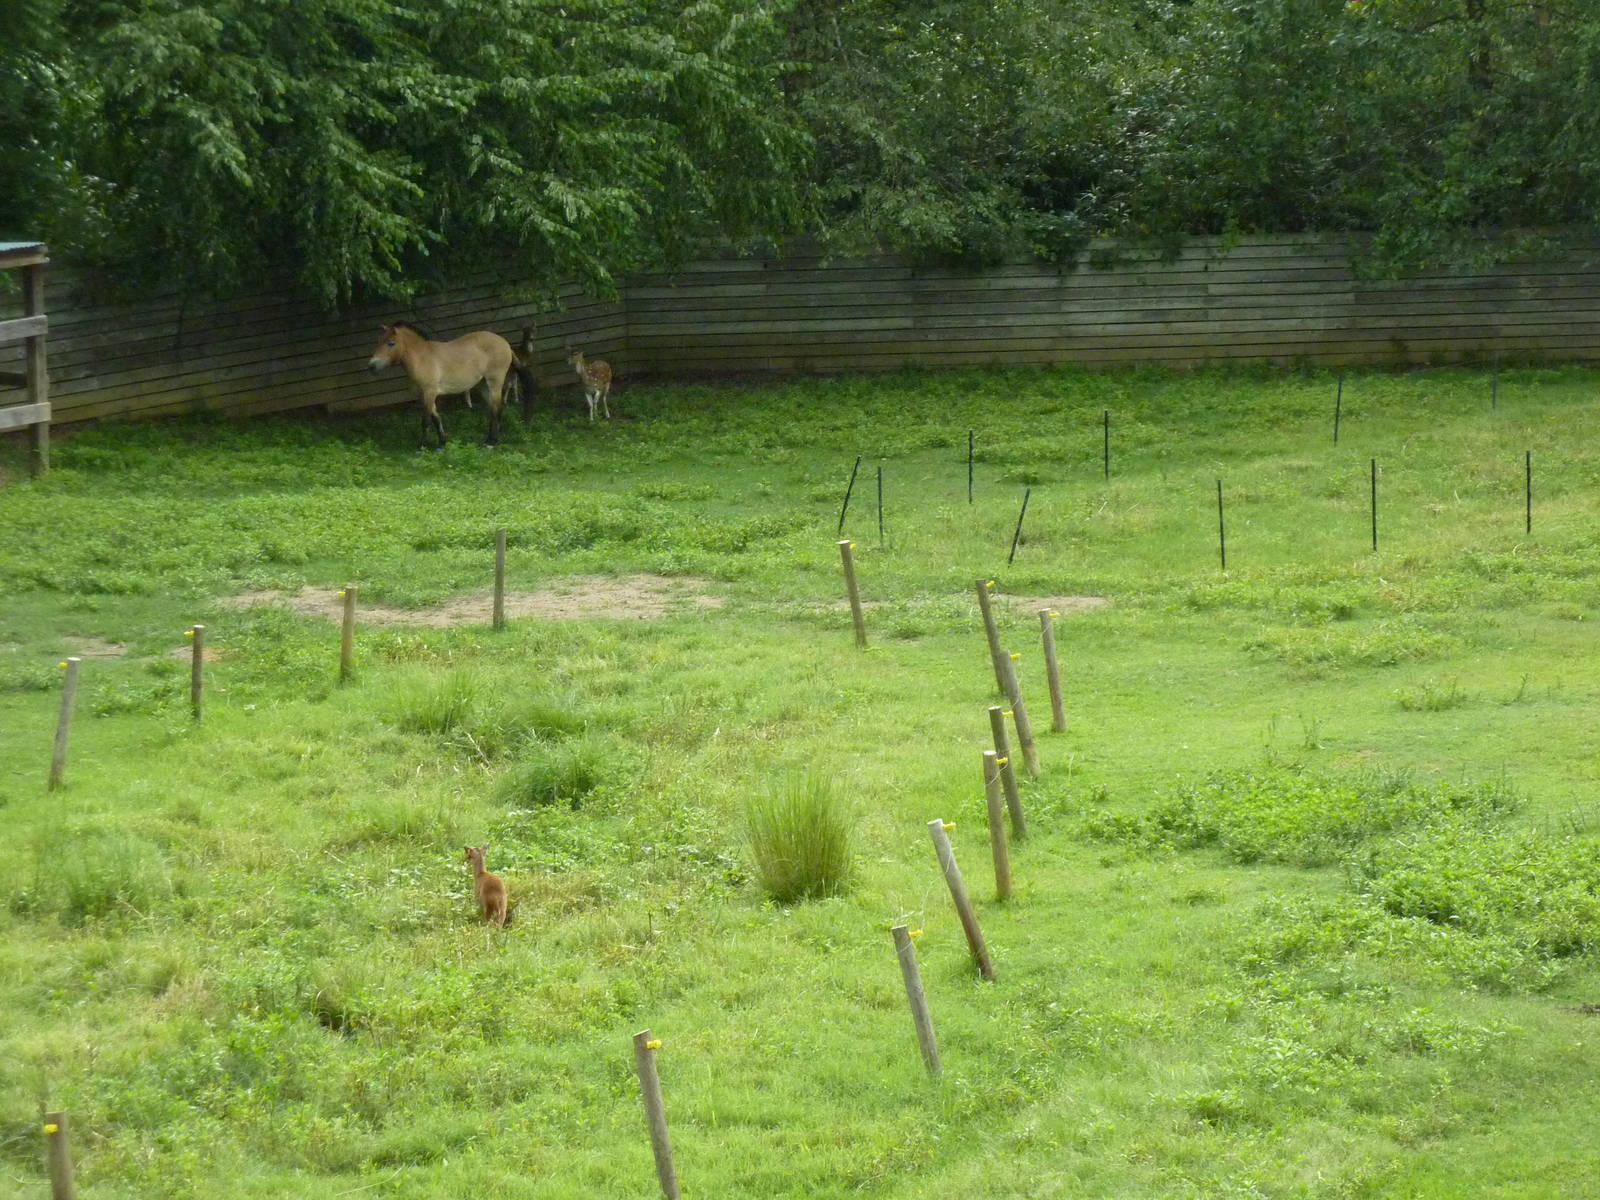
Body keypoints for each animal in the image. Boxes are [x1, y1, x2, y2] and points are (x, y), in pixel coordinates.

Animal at [366, 322, 515, 449]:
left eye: (391, 343)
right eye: (378, 341)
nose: (372, 366)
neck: (422, 358)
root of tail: (505, 343)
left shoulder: (429, 392)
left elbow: (425, 421)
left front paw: (422, 446)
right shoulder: (423, 395)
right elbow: (436, 419)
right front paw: (441, 444)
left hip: (494, 383)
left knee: (496, 409)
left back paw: (491, 443)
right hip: (483, 385)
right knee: (493, 410)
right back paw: (489, 440)